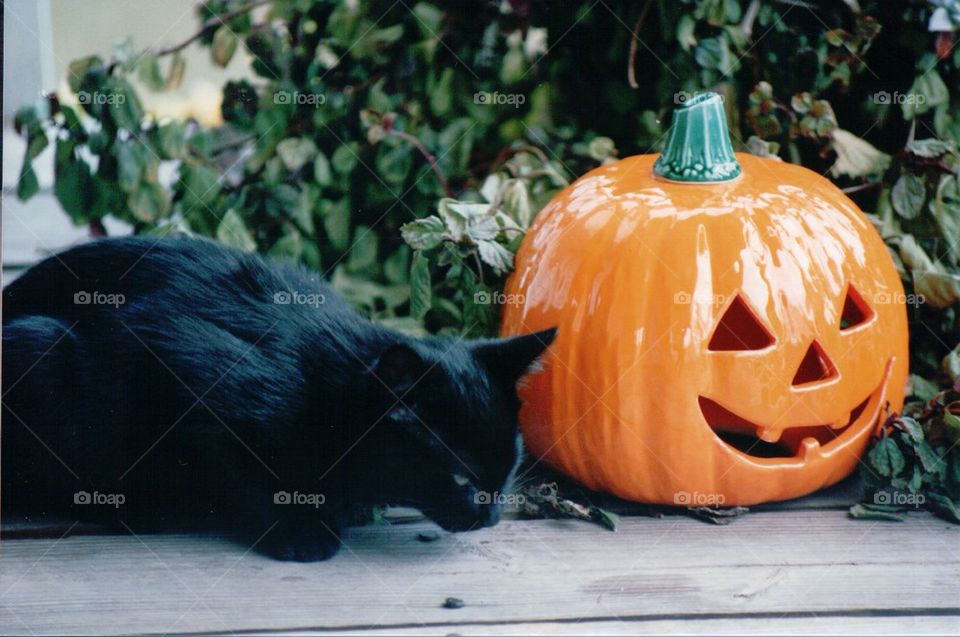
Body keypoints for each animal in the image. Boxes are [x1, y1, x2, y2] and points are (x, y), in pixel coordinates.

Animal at [1, 236, 556, 560]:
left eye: (508, 471)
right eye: (462, 477)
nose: (490, 515)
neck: (324, 390)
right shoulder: (177, 370)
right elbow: (244, 475)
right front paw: (301, 528)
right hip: (40, 348)